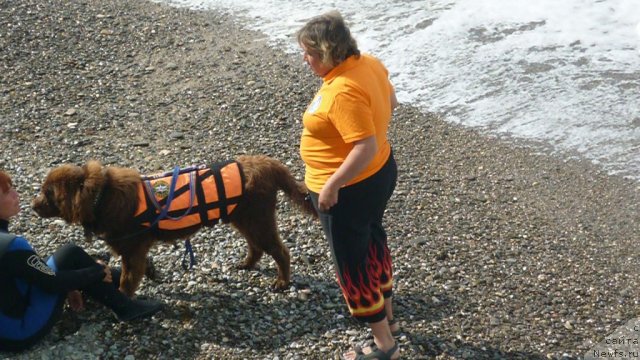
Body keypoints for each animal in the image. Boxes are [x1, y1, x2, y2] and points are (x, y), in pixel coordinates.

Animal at [32, 156, 318, 296]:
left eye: (47, 193)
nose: (32, 206)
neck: (100, 197)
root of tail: (268, 163)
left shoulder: (131, 250)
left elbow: (127, 279)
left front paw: (123, 296)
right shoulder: (136, 250)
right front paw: (151, 273)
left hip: (256, 218)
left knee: (280, 251)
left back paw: (282, 282)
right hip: (244, 218)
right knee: (256, 247)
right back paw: (246, 264)